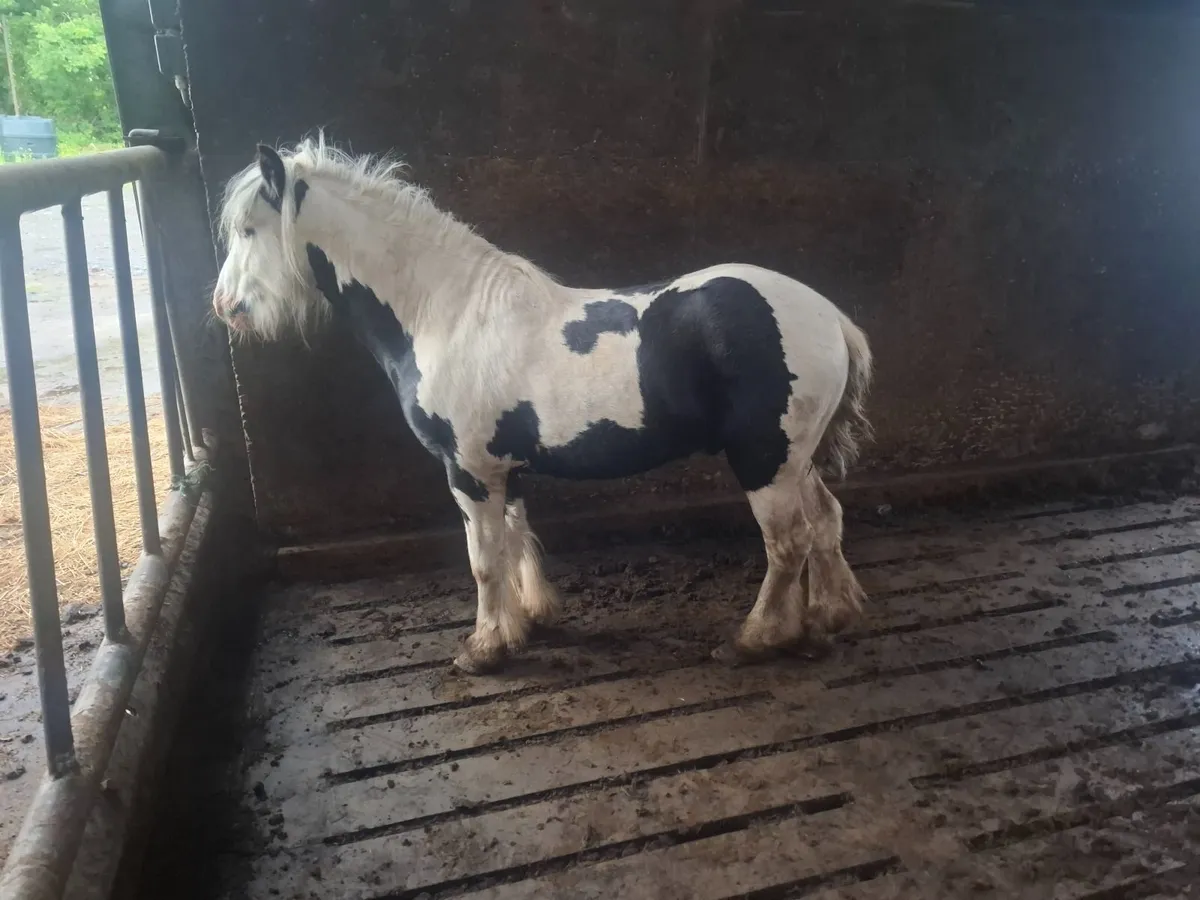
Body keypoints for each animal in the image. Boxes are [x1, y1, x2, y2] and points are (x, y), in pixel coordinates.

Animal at [212, 136, 874, 676]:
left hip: (764, 459)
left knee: (787, 543)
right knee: (826, 521)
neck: (444, 313)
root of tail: (829, 317)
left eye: (247, 230)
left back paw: (756, 639)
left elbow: (484, 560)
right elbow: (515, 539)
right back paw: (827, 620)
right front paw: (527, 620)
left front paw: (484, 649)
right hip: (794, 459)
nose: (224, 306)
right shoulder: (502, 468)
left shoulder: (468, 472)